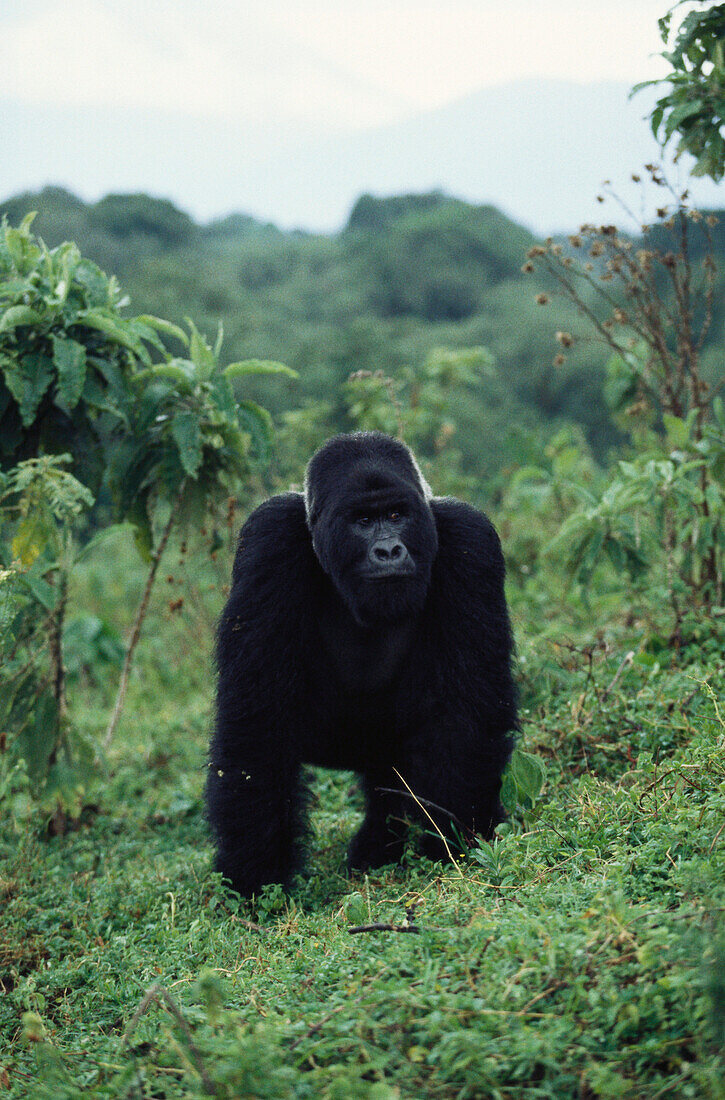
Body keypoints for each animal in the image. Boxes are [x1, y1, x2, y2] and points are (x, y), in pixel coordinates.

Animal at [206, 429, 519, 893]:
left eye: (396, 514)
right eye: (363, 521)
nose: (388, 550)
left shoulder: (470, 539)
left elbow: (467, 716)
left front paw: (455, 841)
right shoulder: (270, 538)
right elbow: (257, 725)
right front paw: (257, 878)